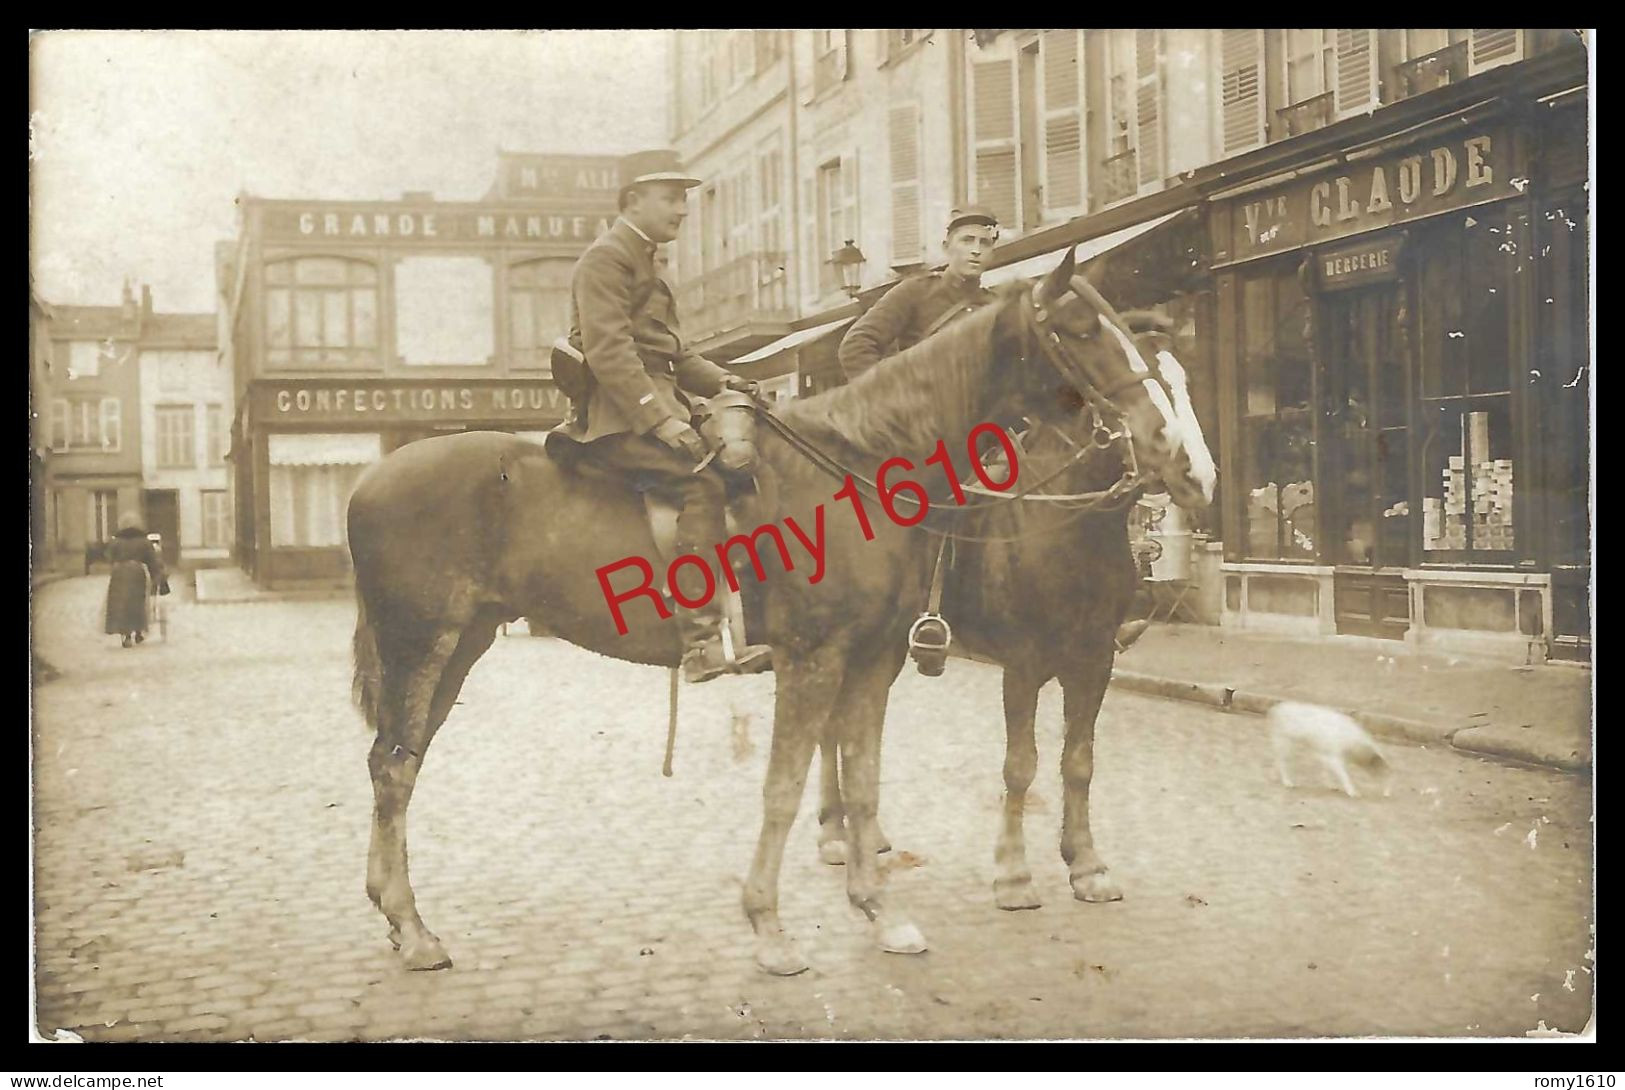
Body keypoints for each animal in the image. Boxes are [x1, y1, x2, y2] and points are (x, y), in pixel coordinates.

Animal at [806, 315, 1215, 909]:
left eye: (1184, 381)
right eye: (1130, 380)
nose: (1197, 476)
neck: (1068, 528)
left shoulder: (1094, 661)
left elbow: (1079, 762)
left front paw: (1086, 865)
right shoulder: (1023, 666)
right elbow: (1021, 766)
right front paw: (1014, 875)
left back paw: (868, 835)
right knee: (830, 728)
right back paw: (836, 835)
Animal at [1267, 705, 1397, 795]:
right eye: (1384, 773)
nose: (1387, 794)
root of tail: (1277, 709)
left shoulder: (1327, 756)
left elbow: (1327, 772)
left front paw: (1331, 785)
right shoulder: (1334, 758)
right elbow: (1344, 775)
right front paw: (1352, 791)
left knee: (1276, 759)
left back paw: (1275, 777)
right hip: (1286, 744)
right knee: (1282, 762)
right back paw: (1288, 782)